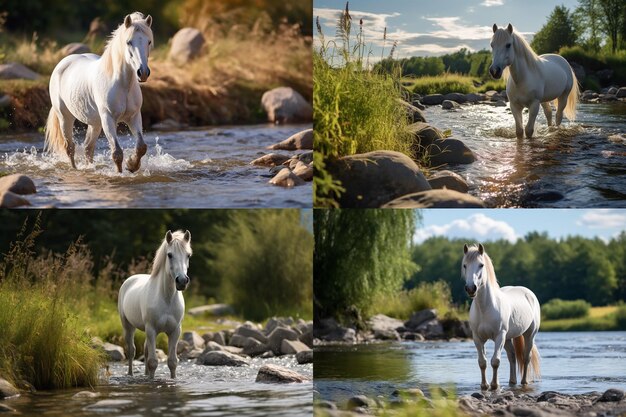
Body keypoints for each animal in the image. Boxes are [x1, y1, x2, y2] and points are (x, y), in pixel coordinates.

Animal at [45, 12, 152, 172]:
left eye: (149, 42)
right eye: (128, 42)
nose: (143, 73)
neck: (122, 85)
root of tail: (63, 63)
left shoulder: (134, 117)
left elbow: (141, 147)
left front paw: (132, 165)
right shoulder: (108, 118)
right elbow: (117, 153)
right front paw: (121, 173)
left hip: (94, 123)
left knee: (88, 147)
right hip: (65, 117)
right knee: (70, 147)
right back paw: (75, 169)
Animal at [117, 229, 190, 378]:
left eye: (188, 255)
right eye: (170, 255)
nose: (182, 281)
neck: (166, 299)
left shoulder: (175, 331)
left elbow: (172, 362)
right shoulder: (152, 330)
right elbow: (153, 362)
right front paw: (151, 379)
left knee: (145, 350)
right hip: (128, 326)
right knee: (131, 350)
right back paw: (130, 374)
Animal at [458, 244, 540, 390]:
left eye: (481, 265)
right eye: (465, 265)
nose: (471, 288)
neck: (485, 308)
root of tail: (528, 293)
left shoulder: (499, 336)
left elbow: (495, 361)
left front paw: (495, 385)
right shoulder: (477, 338)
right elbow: (482, 362)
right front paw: (484, 385)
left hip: (529, 334)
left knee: (526, 357)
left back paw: (524, 381)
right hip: (507, 338)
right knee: (512, 356)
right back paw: (512, 382)